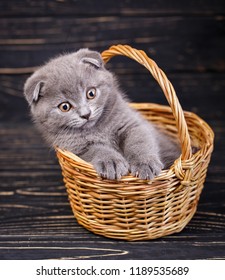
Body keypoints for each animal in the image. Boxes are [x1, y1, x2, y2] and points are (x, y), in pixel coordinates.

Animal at [23, 48, 180, 180]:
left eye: (91, 93)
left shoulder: (132, 124)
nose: (86, 114)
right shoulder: (74, 147)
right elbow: (97, 149)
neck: (98, 128)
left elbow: (139, 141)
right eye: (65, 107)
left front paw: (145, 163)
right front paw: (111, 162)